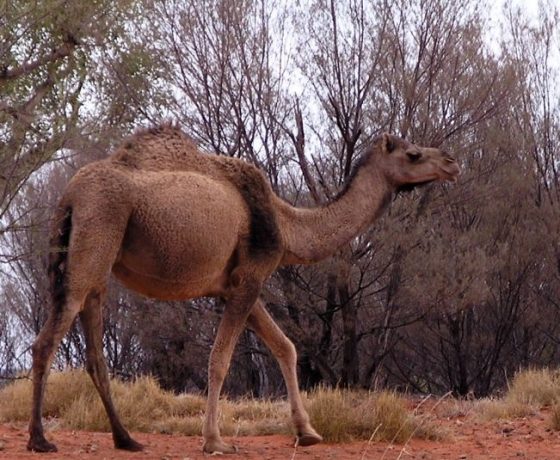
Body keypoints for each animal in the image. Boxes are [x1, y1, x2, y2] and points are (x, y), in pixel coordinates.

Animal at [26, 124, 462, 454]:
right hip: (96, 232)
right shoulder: (251, 276)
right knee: (47, 339)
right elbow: (220, 359)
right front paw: (214, 441)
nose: (452, 162)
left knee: (93, 348)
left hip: (86, 259)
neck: (287, 225)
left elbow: (285, 347)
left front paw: (307, 432)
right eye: (413, 154)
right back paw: (40, 439)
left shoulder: (232, 284)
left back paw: (126, 439)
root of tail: (69, 195)